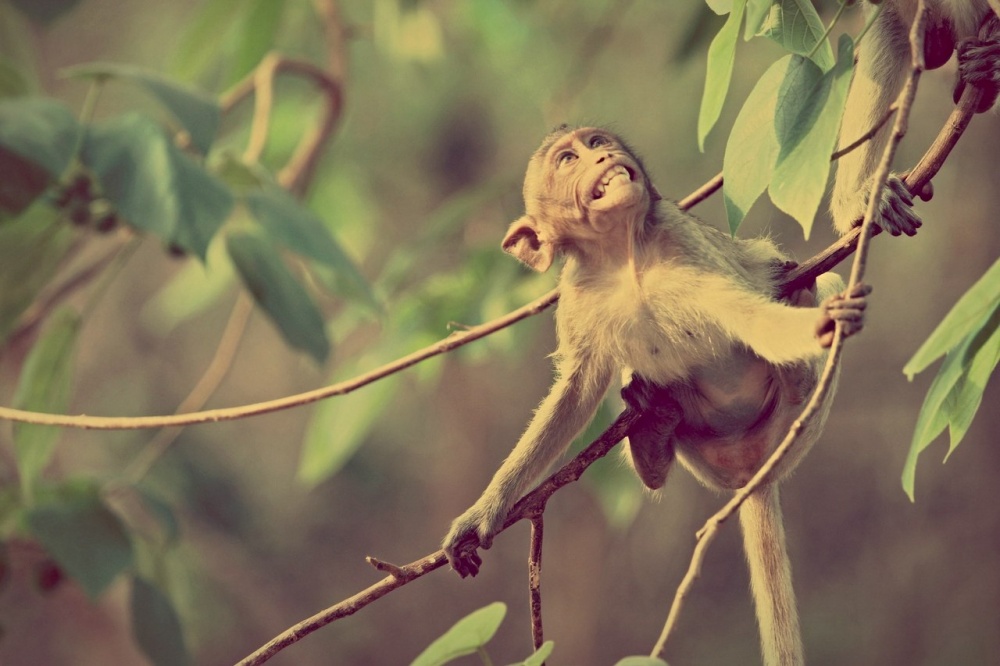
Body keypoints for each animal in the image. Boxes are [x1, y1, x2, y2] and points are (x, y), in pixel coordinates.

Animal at [442, 126, 871, 666]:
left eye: (596, 141)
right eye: (568, 159)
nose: (604, 155)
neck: (623, 254)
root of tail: (754, 470)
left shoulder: (682, 239)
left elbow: (744, 310)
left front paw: (818, 322)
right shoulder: (577, 292)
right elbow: (575, 393)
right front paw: (484, 512)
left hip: (797, 424)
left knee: (818, 285)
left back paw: (797, 348)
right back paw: (653, 430)